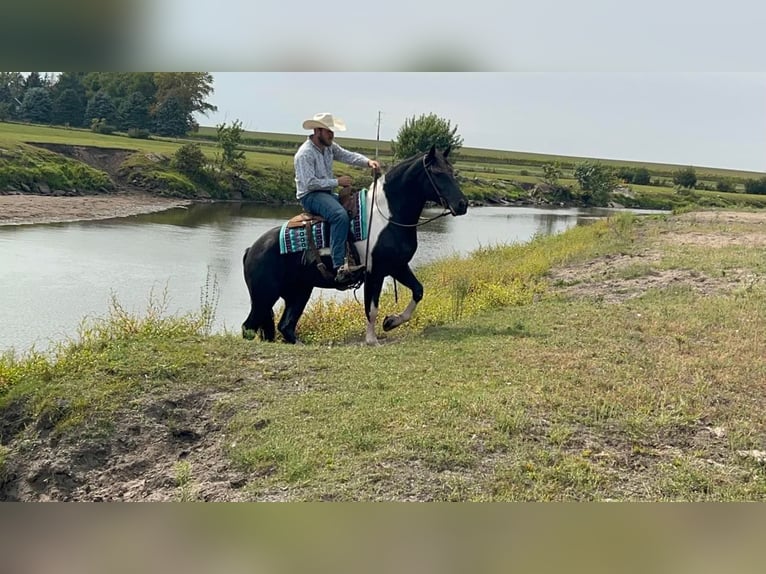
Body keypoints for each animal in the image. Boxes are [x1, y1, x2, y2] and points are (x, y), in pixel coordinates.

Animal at [243, 147, 468, 346]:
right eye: (437, 173)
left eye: (452, 172)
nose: (462, 204)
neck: (387, 217)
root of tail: (251, 249)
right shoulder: (375, 272)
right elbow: (371, 308)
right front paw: (372, 340)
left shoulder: (397, 267)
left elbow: (418, 291)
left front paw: (390, 322)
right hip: (264, 297)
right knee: (249, 327)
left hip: (299, 292)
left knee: (285, 326)